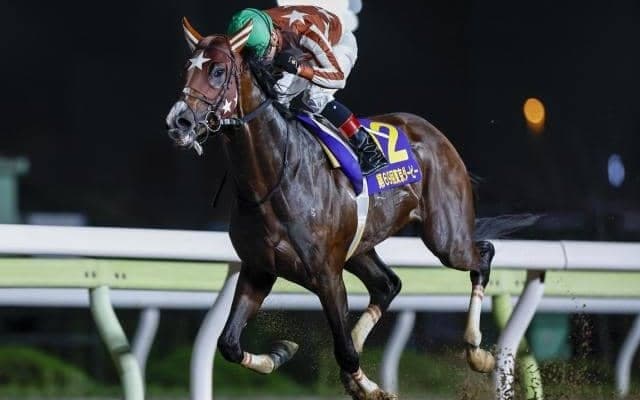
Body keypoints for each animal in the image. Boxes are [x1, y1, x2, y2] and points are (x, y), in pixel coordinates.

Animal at [165, 19, 534, 400]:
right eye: (186, 68)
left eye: (218, 71)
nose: (178, 121)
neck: (273, 179)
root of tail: (433, 133)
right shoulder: (259, 269)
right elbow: (228, 343)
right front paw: (283, 352)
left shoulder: (326, 274)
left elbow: (342, 348)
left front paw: (369, 387)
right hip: (361, 247)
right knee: (388, 284)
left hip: (447, 238)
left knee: (482, 256)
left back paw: (477, 352)